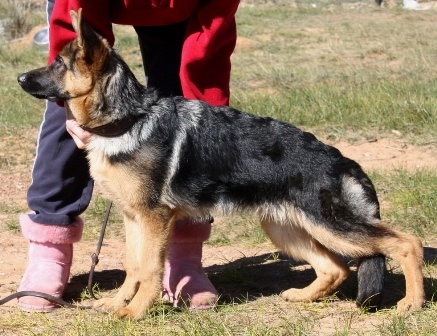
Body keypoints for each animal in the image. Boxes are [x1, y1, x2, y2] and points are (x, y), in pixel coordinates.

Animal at [17, 7, 422, 318]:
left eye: (59, 64)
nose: (20, 78)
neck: (127, 118)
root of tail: (344, 161)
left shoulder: (153, 219)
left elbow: (149, 269)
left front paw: (135, 312)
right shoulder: (134, 218)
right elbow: (133, 267)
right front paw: (118, 304)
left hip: (332, 226)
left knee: (407, 243)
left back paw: (412, 305)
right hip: (288, 228)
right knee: (335, 267)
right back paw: (303, 296)